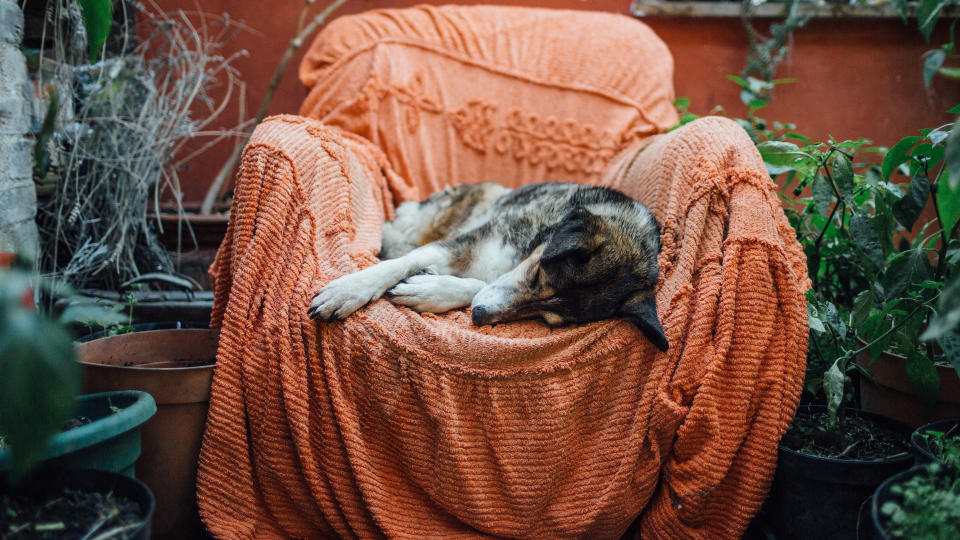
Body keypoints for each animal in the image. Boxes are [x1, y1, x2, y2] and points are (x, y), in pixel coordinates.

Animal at [308, 181, 668, 350]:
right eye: (536, 276)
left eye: (549, 321)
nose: (479, 317)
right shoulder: (460, 245)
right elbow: (400, 264)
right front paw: (348, 291)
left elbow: (477, 285)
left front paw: (430, 290)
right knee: (399, 230)